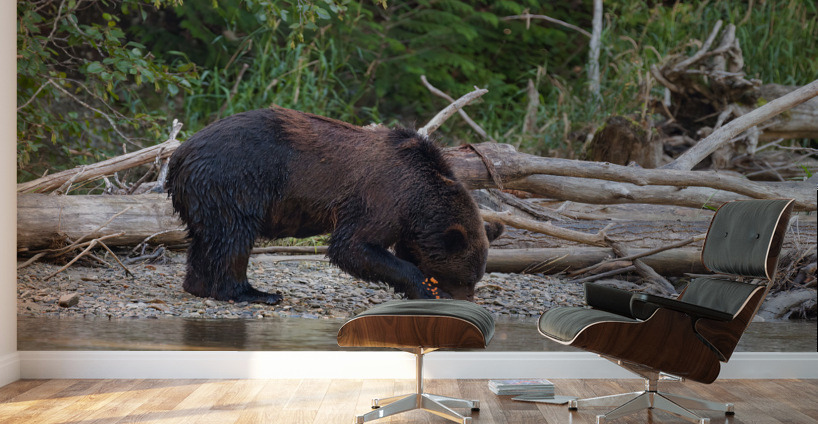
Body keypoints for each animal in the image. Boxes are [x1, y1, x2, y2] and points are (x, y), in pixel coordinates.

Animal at [166, 106, 503, 304]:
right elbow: (353, 246)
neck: (419, 199)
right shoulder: (381, 197)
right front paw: (427, 288)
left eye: (474, 279)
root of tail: (178, 154)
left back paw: (198, 285)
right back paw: (254, 293)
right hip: (236, 180)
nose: (466, 300)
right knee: (233, 235)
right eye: (464, 278)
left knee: (206, 238)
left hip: (205, 193)